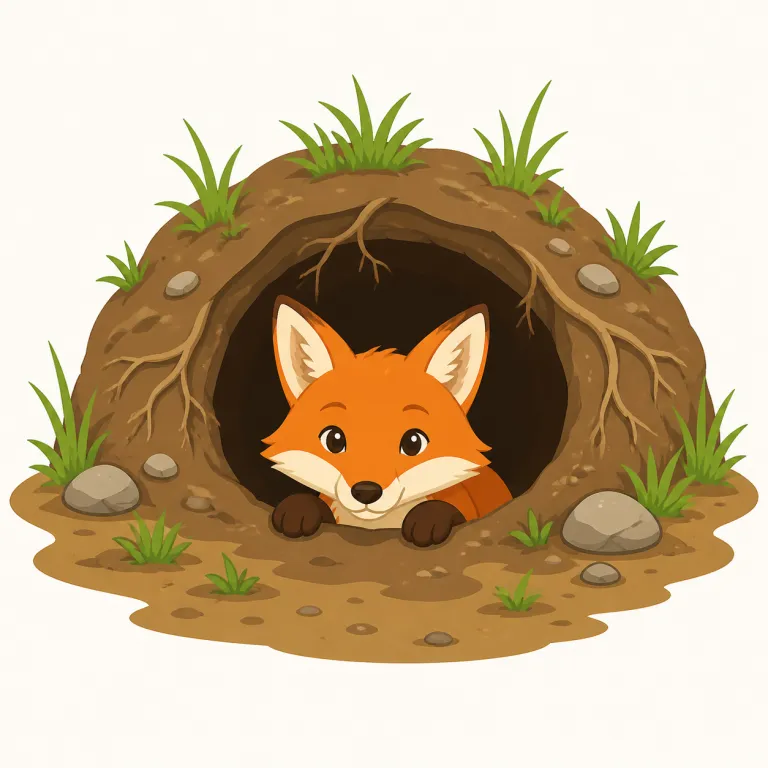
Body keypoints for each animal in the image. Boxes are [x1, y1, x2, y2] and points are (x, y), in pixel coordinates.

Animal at [261, 295, 513, 547]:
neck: (377, 525)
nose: (366, 491)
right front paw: (298, 510)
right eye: (334, 439)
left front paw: (428, 519)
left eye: (413, 443)